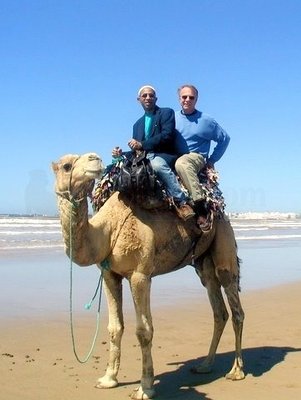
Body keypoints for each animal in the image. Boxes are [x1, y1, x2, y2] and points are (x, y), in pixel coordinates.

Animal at [51, 152, 244, 398]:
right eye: (66, 166)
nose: (94, 159)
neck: (108, 230)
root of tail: (219, 208)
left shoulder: (140, 275)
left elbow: (144, 331)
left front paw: (145, 387)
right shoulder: (109, 274)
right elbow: (115, 327)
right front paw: (108, 379)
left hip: (224, 244)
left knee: (235, 306)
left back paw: (236, 371)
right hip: (203, 264)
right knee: (219, 310)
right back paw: (205, 365)